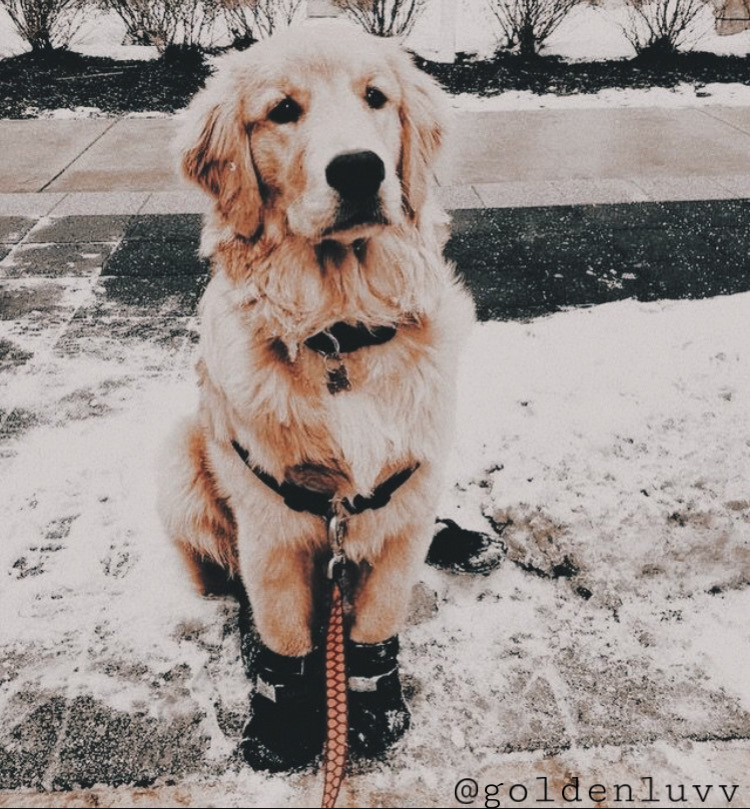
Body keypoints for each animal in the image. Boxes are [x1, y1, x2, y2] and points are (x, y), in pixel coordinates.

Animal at [159, 20, 476, 772]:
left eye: (376, 98)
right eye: (282, 110)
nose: (359, 169)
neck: (341, 335)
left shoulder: (406, 503)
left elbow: (378, 624)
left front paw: (376, 707)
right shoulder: (271, 526)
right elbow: (284, 636)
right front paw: (281, 725)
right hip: (180, 458)